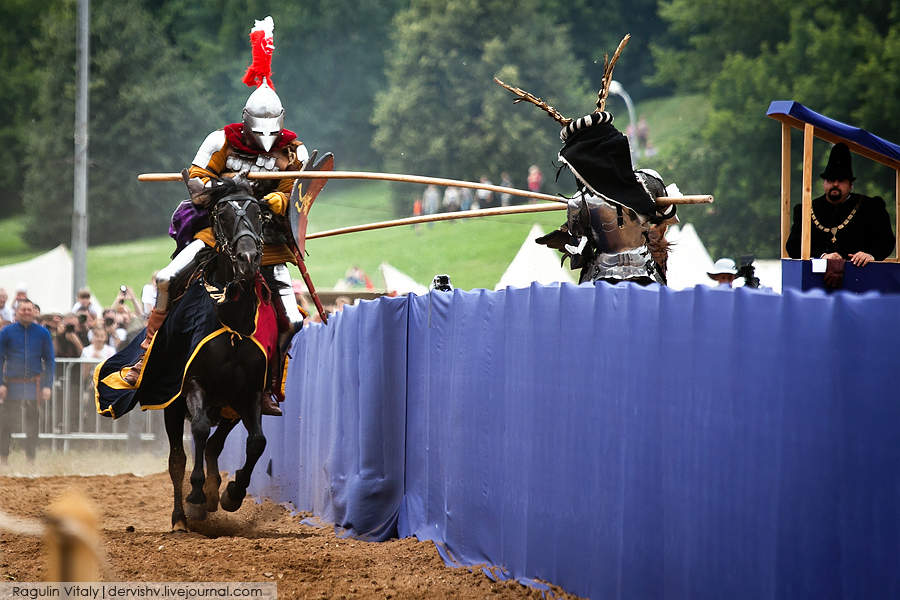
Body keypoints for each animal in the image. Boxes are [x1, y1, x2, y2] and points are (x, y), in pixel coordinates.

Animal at [163, 180, 272, 532]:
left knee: (214, 445)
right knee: (178, 459)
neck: (232, 320)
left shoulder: (249, 392)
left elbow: (257, 441)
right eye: (222, 215)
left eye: (258, 214)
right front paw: (196, 497)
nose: (248, 258)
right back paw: (181, 517)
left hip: (228, 408)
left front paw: (231, 493)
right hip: (173, 407)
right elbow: (196, 431)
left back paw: (213, 492)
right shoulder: (194, 383)